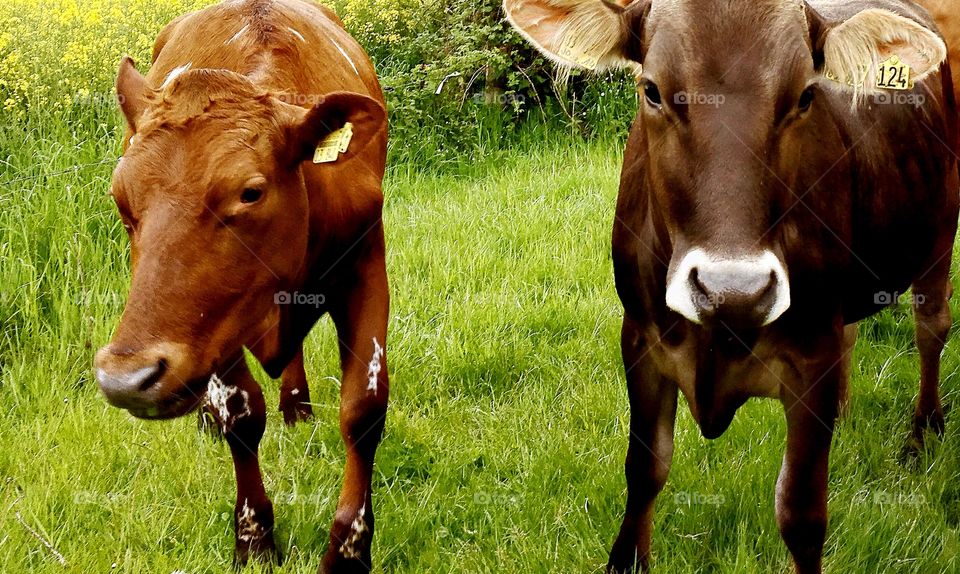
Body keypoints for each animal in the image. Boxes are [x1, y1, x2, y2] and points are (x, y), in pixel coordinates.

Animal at [93, 0, 389, 571]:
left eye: (251, 192)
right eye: (120, 198)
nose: (124, 379)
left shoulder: (367, 264)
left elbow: (364, 409)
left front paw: (349, 549)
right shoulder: (215, 322)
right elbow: (243, 413)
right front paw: (255, 538)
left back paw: (297, 405)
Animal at [504, 0, 957, 572]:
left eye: (805, 95)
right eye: (652, 90)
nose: (733, 290)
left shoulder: (812, 356)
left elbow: (801, 514)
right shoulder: (640, 339)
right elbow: (644, 470)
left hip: (940, 233)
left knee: (931, 329)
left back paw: (923, 434)